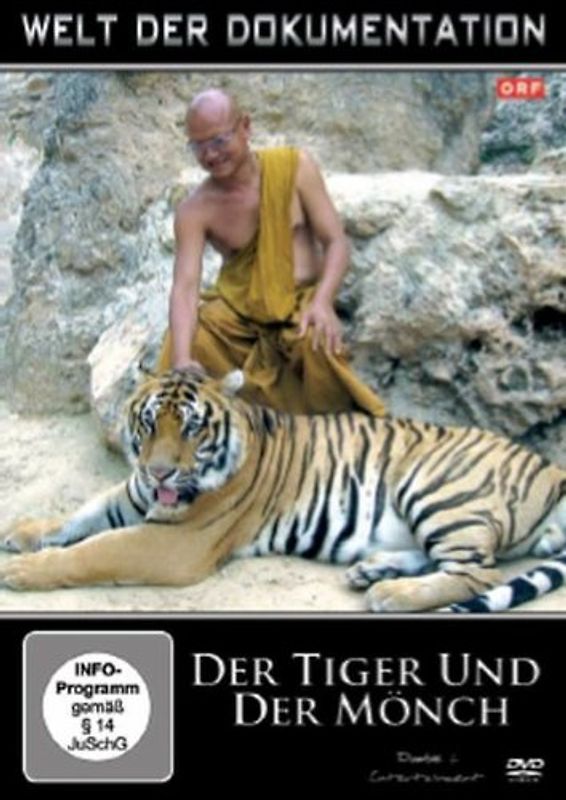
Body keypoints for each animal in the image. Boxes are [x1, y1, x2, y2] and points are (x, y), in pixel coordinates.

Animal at [0, 368, 565, 613]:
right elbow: (78, 516)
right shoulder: (132, 494)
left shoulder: (174, 543)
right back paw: (372, 570)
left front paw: (22, 571)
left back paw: (391, 594)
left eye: (191, 428)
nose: (160, 473)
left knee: (479, 572)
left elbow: (95, 550)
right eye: (149, 422)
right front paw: (22, 532)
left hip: (435, 488)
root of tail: (549, 466)